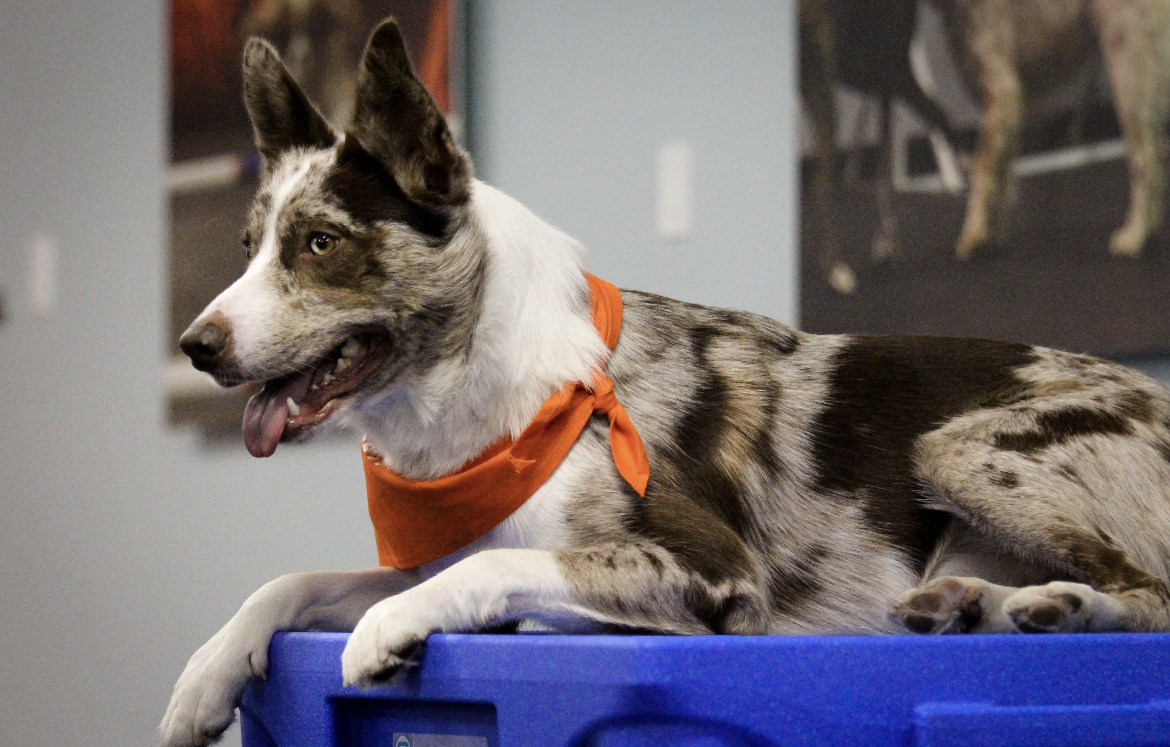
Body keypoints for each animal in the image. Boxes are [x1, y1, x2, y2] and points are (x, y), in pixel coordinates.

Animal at [931, 0, 1170, 259]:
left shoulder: (1001, 94)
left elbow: (982, 174)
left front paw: (974, 234)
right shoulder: (1007, 112)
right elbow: (1000, 178)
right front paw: (993, 236)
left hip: (1126, 72)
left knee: (1146, 161)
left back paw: (1135, 235)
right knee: (1157, 153)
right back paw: (1150, 229)